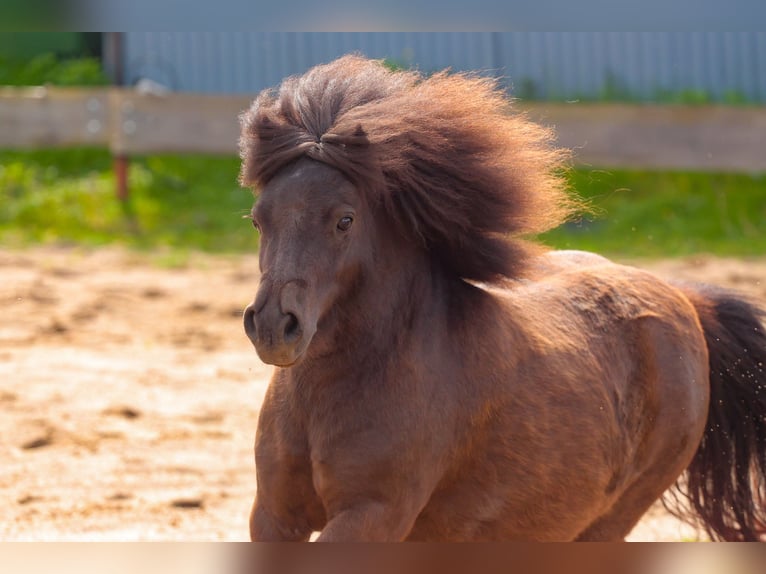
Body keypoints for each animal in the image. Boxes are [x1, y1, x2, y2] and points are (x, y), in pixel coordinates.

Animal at [238, 55, 766, 541]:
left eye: (344, 220)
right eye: (258, 219)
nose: (273, 327)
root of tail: (686, 300)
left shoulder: (371, 515)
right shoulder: (274, 516)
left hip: (610, 519)